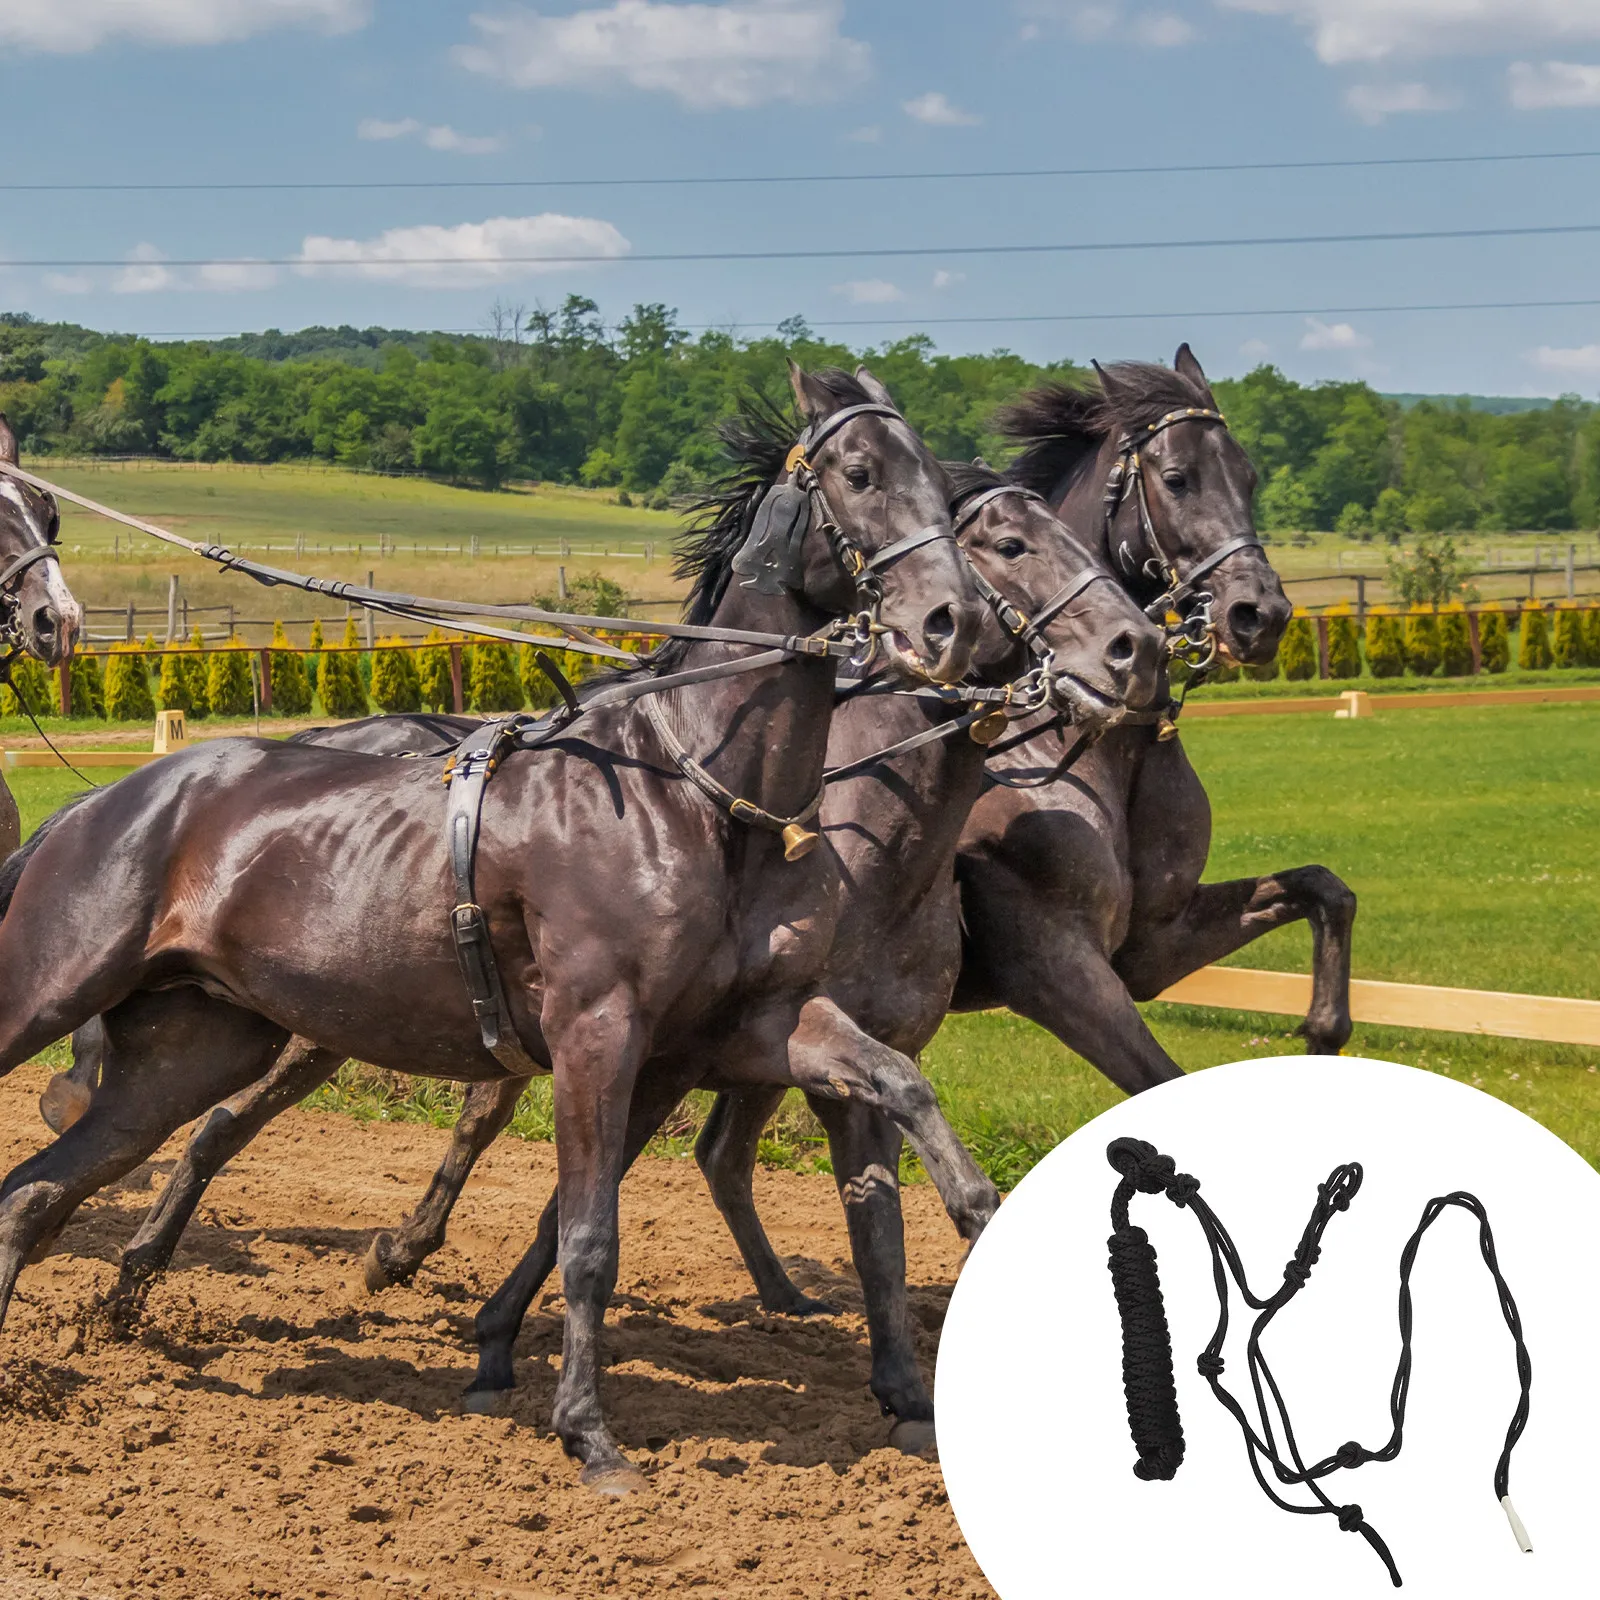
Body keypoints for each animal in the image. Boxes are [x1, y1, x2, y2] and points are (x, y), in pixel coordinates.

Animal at [0, 364, 1006, 1492]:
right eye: (861, 472)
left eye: (938, 477)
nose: (952, 622)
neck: (697, 790)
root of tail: (97, 805)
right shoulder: (598, 1031)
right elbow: (588, 1237)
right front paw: (588, 1432)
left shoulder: (752, 1025)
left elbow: (898, 1083)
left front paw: (974, 1216)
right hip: (49, 993)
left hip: (191, 1050)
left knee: (33, 1193)